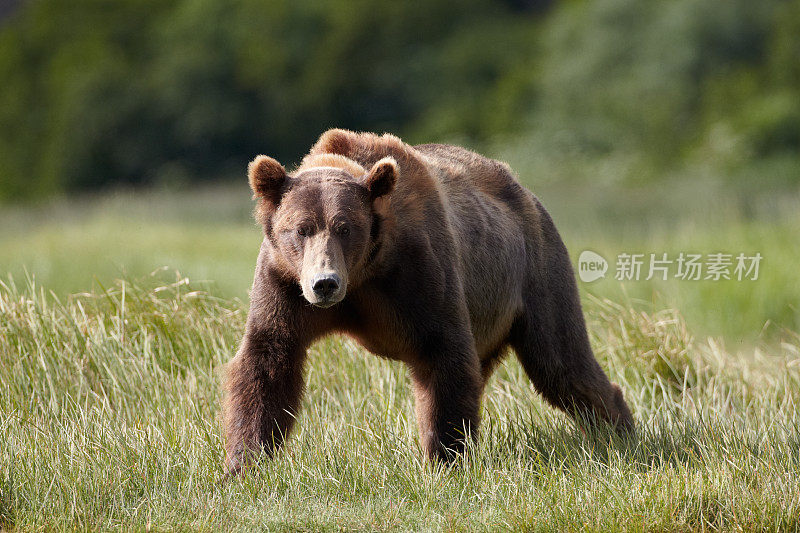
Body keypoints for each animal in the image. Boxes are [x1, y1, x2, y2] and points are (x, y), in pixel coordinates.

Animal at [222, 129, 636, 474]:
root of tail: (527, 193)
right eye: (301, 229)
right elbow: (268, 361)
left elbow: (442, 356)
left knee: (560, 361)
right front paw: (244, 464)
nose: (325, 284)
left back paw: (618, 431)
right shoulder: (283, 284)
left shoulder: (416, 274)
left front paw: (444, 459)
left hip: (536, 272)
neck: (363, 275)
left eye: (346, 228)